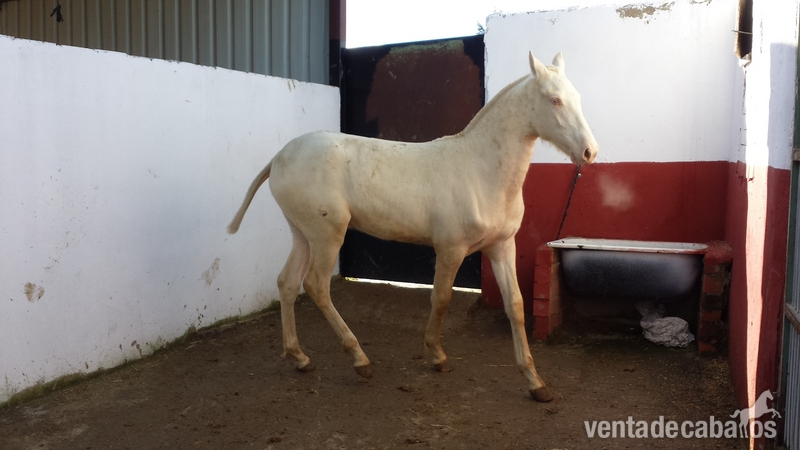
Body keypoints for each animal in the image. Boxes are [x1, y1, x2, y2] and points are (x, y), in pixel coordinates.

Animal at [228, 52, 598, 402]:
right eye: (554, 100)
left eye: (578, 97)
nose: (589, 152)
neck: (480, 171)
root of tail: (279, 157)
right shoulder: (451, 249)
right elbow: (441, 299)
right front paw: (437, 356)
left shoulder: (502, 247)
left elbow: (516, 306)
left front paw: (536, 382)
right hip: (327, 235)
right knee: (316, 286)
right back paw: (359, 360)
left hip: (302, 234)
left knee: (287, 283)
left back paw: (300, 357)